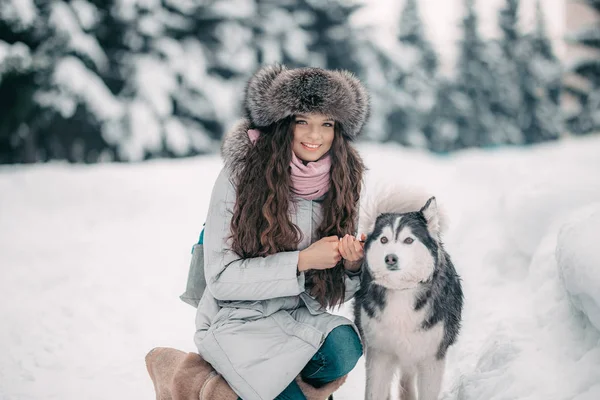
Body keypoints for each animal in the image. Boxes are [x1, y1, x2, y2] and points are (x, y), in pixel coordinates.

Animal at [354, 195, 462, 400]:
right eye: (384, 239)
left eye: (409, 240)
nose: (390, 258)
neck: (402, 290)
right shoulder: (379, 354)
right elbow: (374, 392)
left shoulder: (431, 358)